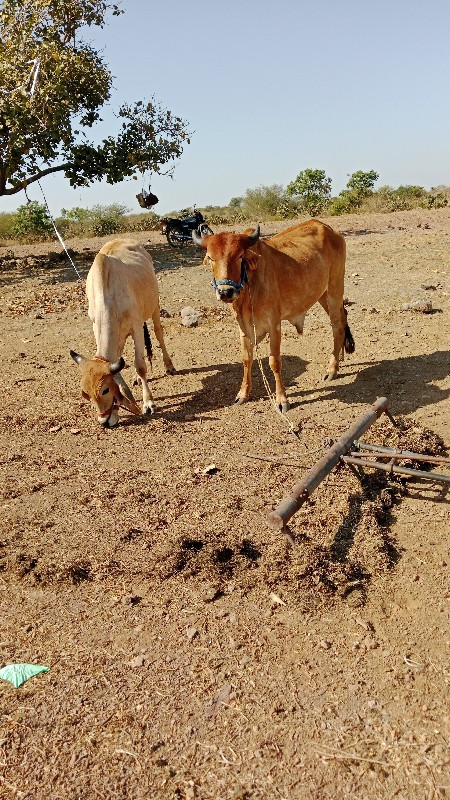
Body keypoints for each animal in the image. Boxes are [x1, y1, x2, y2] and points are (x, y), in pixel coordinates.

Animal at [192, 219, 356, 412]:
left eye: (240, 256)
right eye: (210, 257)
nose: (226, 292)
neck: (250, 286)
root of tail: (330, 230)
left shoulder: (274, 325)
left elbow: (274, 362)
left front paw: (282, 400)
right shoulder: (243, 328)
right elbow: (246, 359)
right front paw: (243, 394)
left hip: (334, 288)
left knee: (337, 325)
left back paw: (332, 369)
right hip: (322, 293)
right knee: (343, 318)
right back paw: (340, 358)